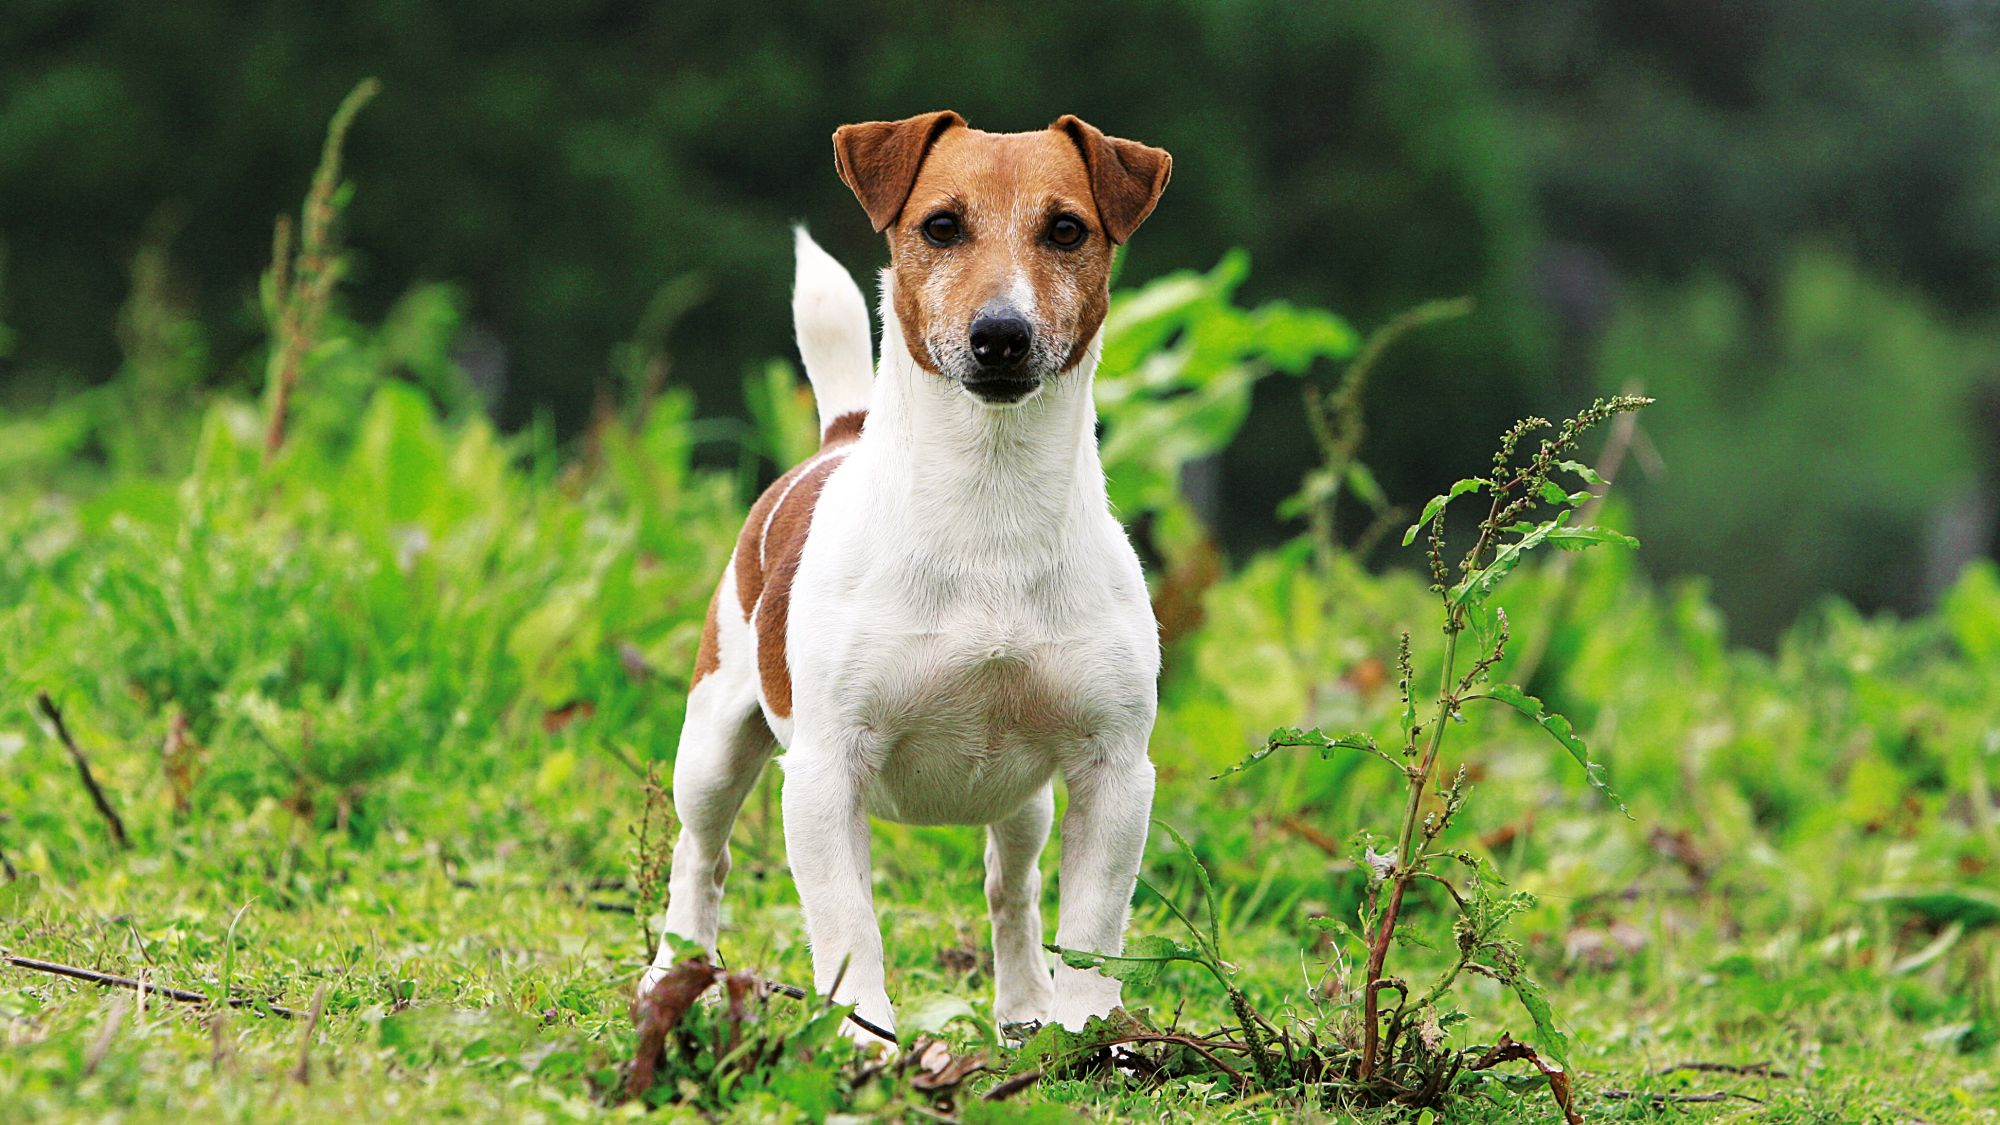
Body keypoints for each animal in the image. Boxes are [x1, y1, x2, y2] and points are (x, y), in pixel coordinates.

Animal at [640, 109, 1168, 1040]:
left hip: (1024, 799)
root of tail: (839, 434)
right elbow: (849, 928)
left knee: (1013, 885)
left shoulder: (1114, 770)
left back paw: (1023, 1007)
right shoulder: (824, 772)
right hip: (712, 742)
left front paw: (1082, 1040)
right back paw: (671, 975)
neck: (990, 507)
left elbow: (1092, 934)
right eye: (941, 226)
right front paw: (869, 1043)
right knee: (700, 856)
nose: (1002, 334)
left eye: (1067, 230)